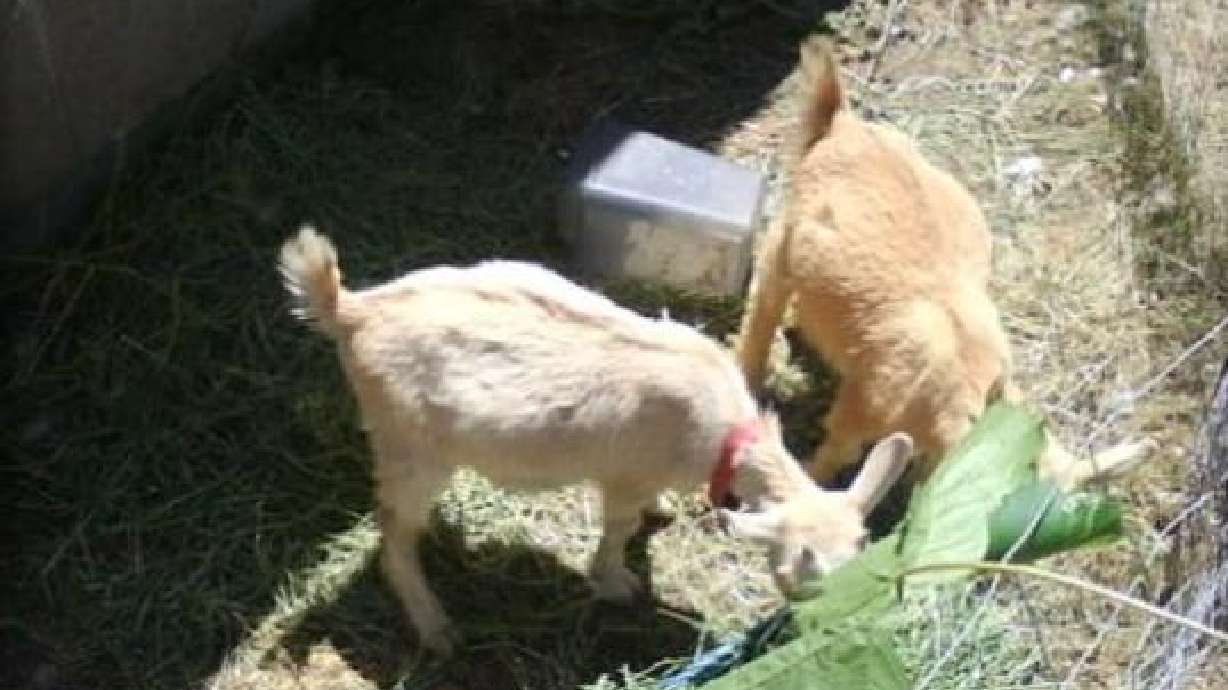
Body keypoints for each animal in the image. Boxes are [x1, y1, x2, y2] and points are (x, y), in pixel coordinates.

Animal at [278, 226, 912, 655]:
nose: (857, 623)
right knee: (392, 532)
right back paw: (434, 625)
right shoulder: (627, 477)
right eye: (811, 574)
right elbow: (619, 530)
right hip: (411, 445)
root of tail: (353, 310)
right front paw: (616, 584)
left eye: (866, 552)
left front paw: (658, 518)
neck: (724, 430)